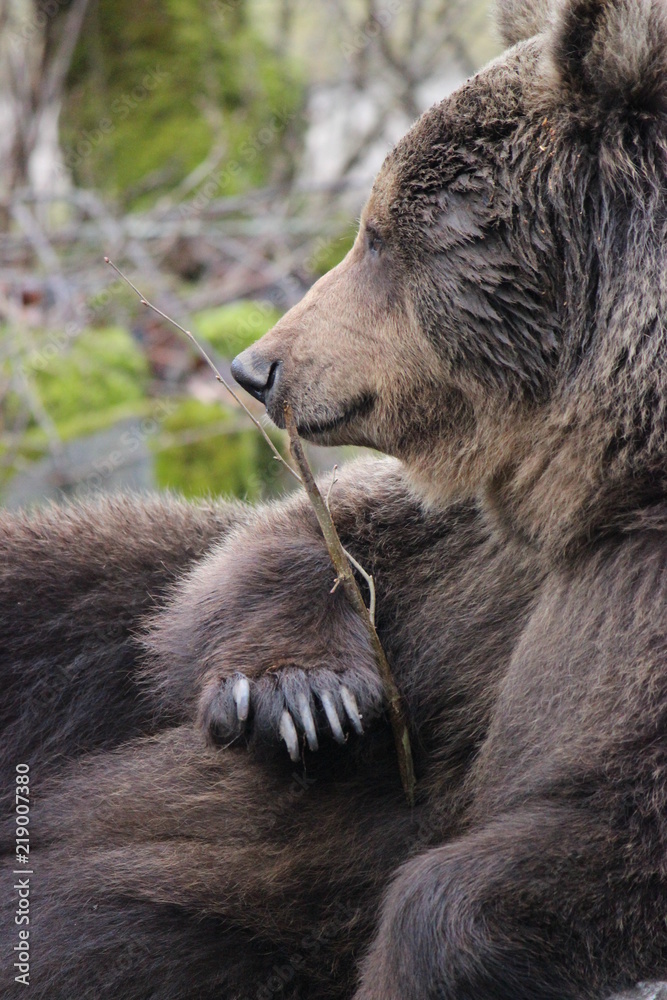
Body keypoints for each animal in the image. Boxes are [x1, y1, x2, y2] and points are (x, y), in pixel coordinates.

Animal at [3, 0, 667, 997]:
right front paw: (300, 695)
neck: (613, 474)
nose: (256, 366)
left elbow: (595, 840)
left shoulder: (621, 609)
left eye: (382, 234)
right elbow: (266, 556)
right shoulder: (483, 542)